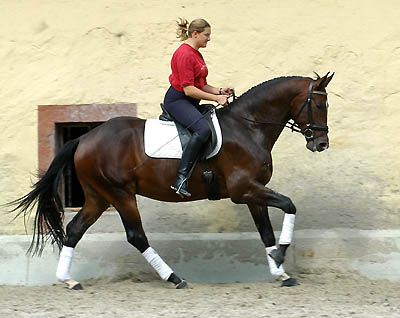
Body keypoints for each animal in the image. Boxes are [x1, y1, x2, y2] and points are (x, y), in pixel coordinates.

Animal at [10, 71, 334, 288]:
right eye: (320, 106)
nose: (321, 144)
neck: (249, 127)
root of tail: (84, 138)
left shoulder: (254, 192)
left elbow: (266, 231)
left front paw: (280, 271)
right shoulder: (244, 190)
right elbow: (289, 205)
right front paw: (281, 255)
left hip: (98, 196)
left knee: (75, 229)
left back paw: (68, 279)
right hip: (120, 194)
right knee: (136, 236)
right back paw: (174, 278)